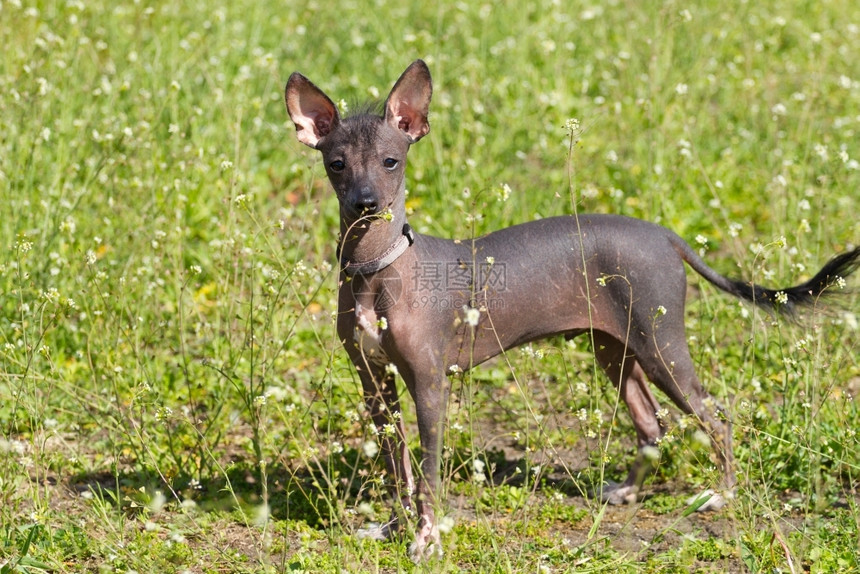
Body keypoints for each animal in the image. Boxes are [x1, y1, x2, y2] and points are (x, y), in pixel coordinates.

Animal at [286, 60, 856, 564]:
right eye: (337, 164)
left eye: (391, 161)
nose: (366, 203)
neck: (377, 268)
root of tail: (665, 235)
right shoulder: (374, 384)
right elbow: (396, 467)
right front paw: (394, 527)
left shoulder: (429, 385)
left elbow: (425, 475)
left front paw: (426, 540)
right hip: (615, 349)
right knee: (651, 425)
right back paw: (628, 494)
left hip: (661, 345)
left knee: (717, 418)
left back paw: (723, 496)